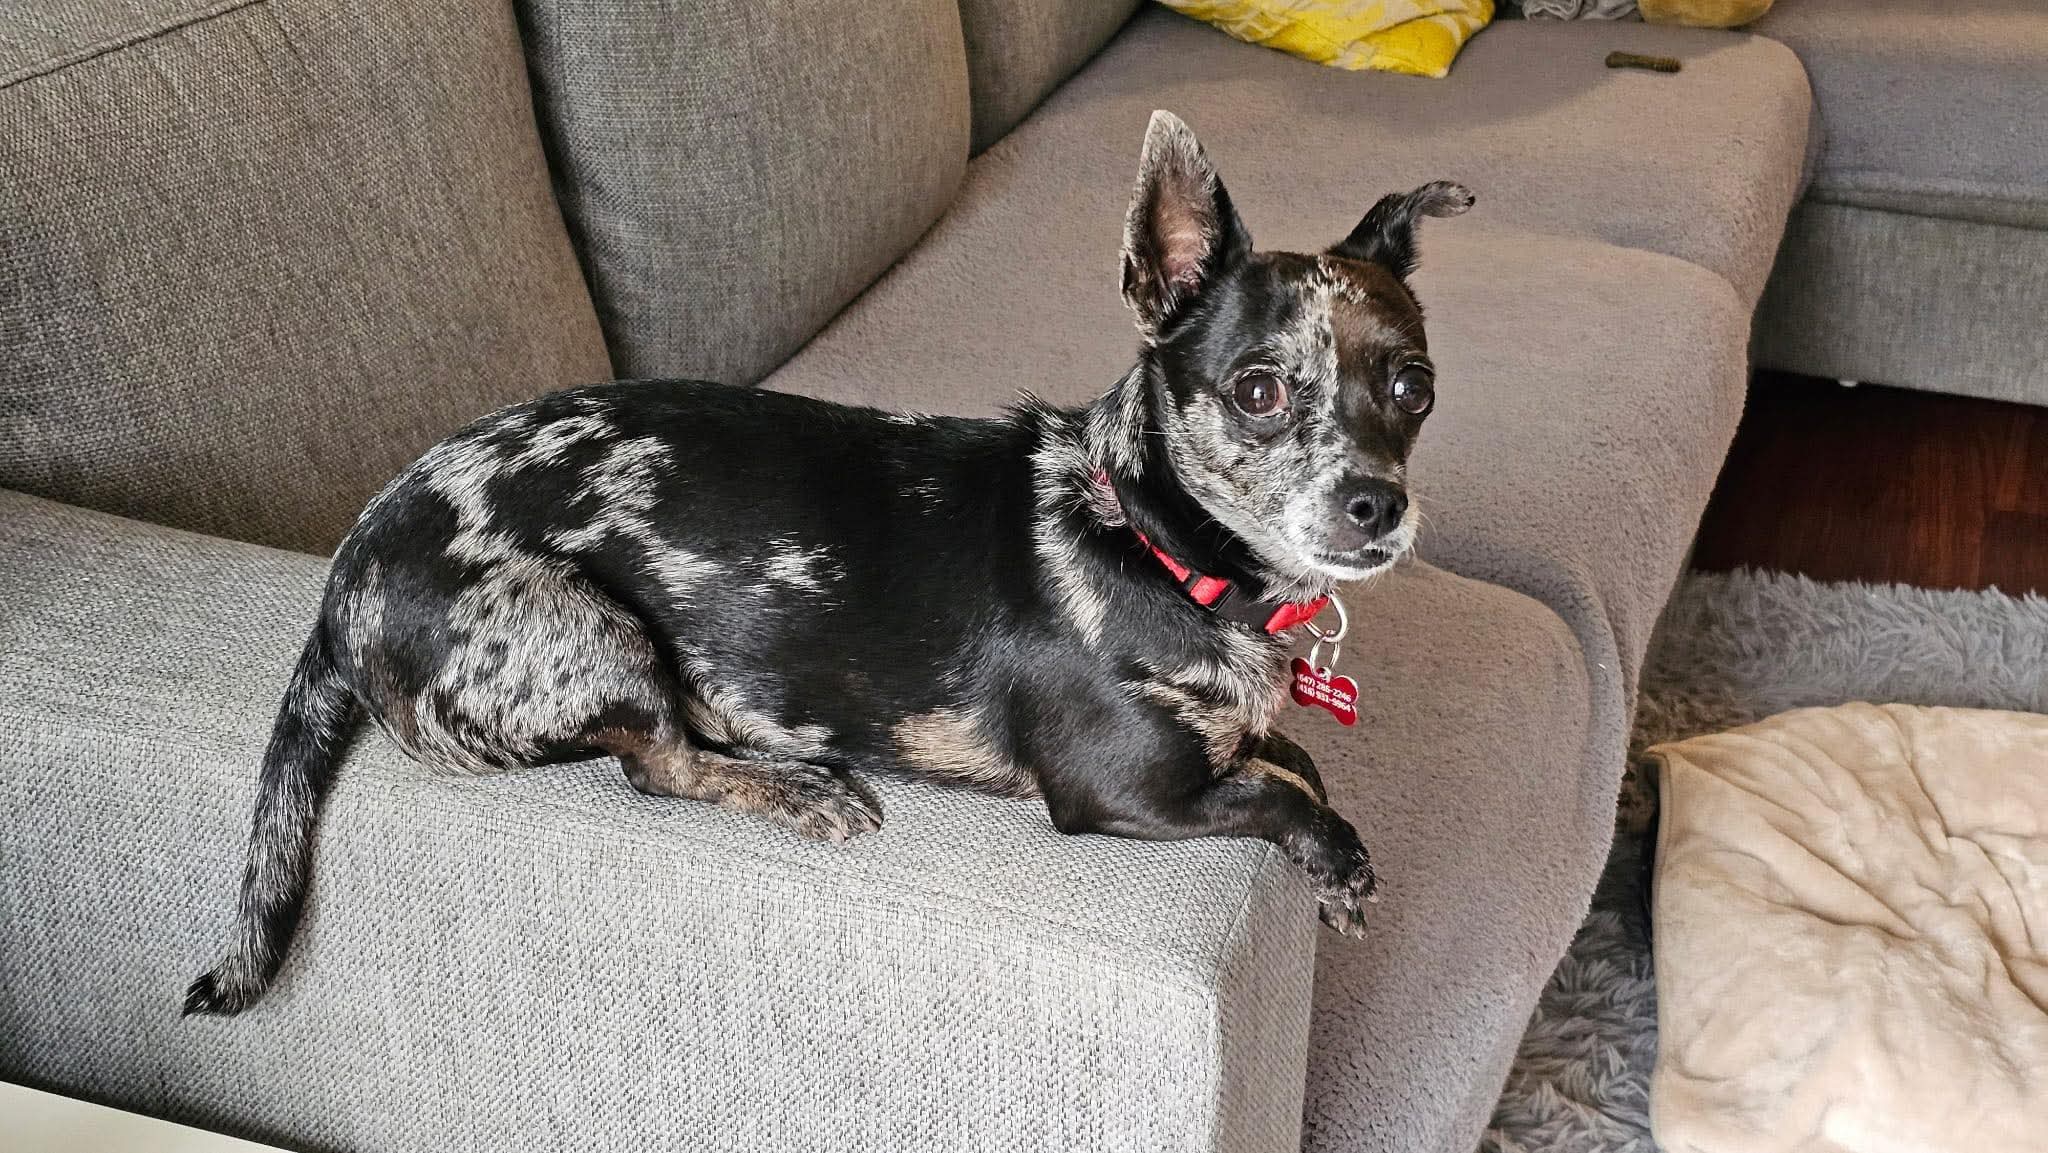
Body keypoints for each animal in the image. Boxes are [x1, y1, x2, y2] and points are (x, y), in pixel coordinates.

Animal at [184, 110, 1470, 1016]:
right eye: (1256, 390)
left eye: (1413, 386)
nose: (1378, 505)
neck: (1151, 545)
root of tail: (348, 569)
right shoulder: (1124, 793)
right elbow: (1279, 792)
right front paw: (1339, 863)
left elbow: (1294, 755)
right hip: (588, 637)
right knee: (658, 765)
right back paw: (796, 786)